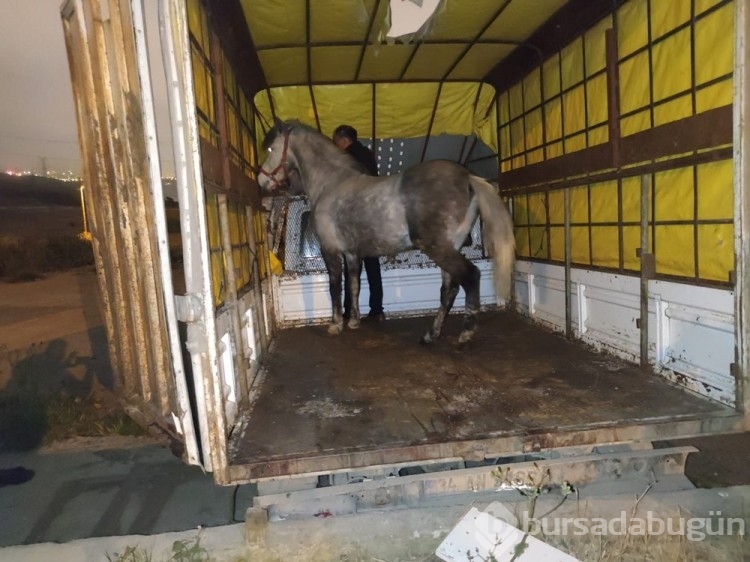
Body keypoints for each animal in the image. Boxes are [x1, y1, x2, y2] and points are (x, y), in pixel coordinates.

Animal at [260, 119, 516, 342]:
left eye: (271, 147)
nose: (262, 182)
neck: (331, 184)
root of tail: (468, 177)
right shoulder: (352, 254)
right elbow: (354, 285)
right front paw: (354, 321)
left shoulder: (330, 250)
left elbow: (335, 286)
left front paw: (336, 325)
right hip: (451, 248)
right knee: (449, 290)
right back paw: (431, 335)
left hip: (439, 248)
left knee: (470, 277)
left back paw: (465, 333)